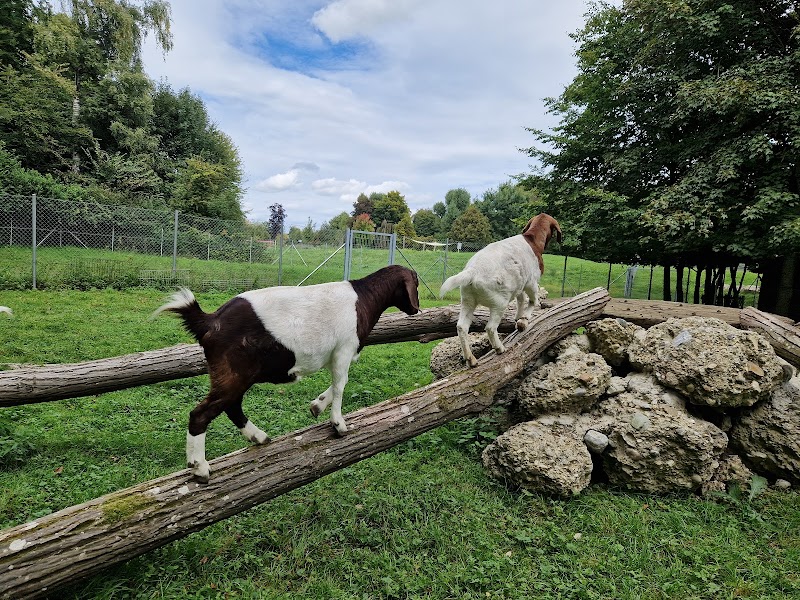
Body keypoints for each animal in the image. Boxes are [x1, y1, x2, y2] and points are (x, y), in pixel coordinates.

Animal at [154, 265, 420, 482]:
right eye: (416, 283)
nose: (416, 310)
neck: (363, 298)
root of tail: (209, 321)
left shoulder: (337, 354)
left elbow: (338, 383)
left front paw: (316, 406)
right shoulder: (344, 348)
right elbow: (341, 384)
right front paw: (339, 424)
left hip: (233, 375)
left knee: (232, 406)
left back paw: (259, 438)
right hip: (233, 372)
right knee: (201, 413)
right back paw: (200, 468)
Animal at [439, 213, 562, 368]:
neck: (532, 240)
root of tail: (472, 271)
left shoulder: (520, 283)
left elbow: (521, 299)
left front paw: (518, 318)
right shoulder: (531, 282)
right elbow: (533, 300)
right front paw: (523, 321)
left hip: (467, 300)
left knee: (462, 327)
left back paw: (471, 359)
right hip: (499, 303)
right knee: (490, 327)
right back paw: (499, 348)